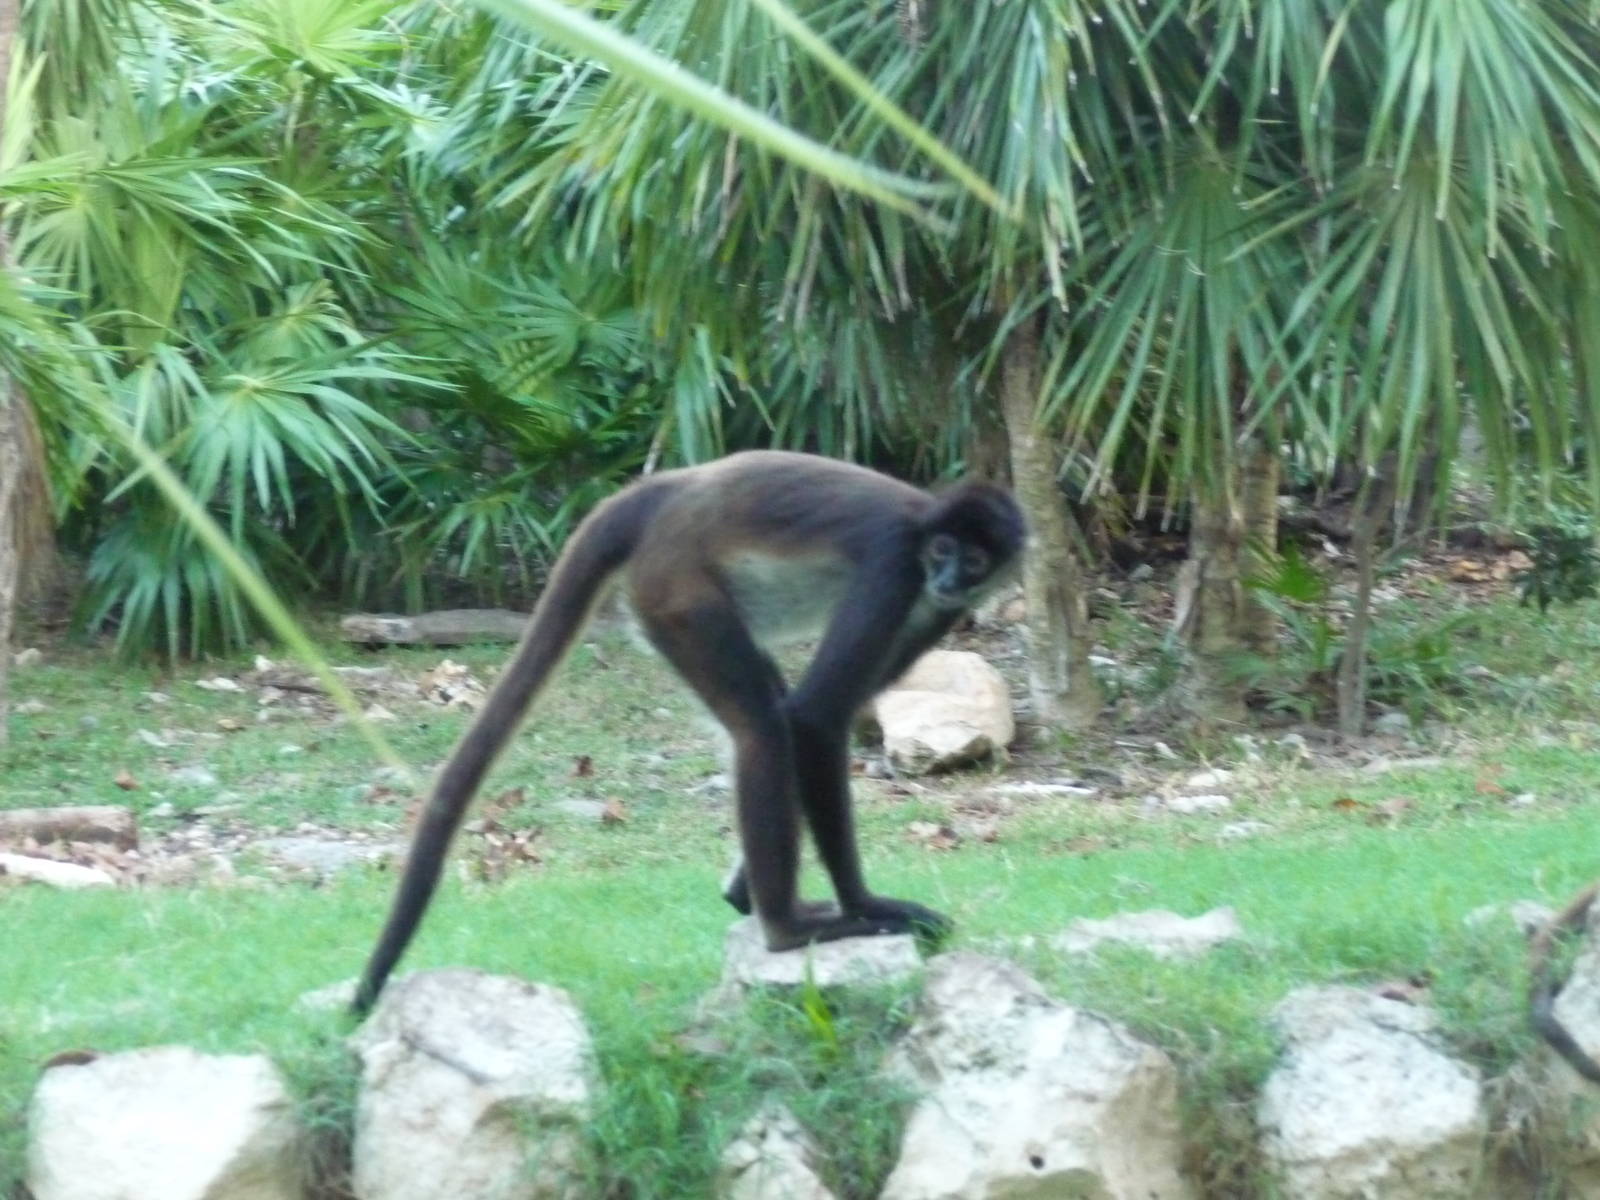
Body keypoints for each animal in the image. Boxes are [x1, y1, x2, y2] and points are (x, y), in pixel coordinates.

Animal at [351, 450, 1024, 1016]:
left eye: (971, 561)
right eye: (941, 550)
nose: (945, 579)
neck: (921, 536)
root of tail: (673, 488)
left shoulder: (935, 604)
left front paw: (741, 887)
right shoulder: (893, 567)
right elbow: (814, 717)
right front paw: (862, 906)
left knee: (766, 709)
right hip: (674, 588)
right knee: (763, 726)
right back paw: (789, 930)